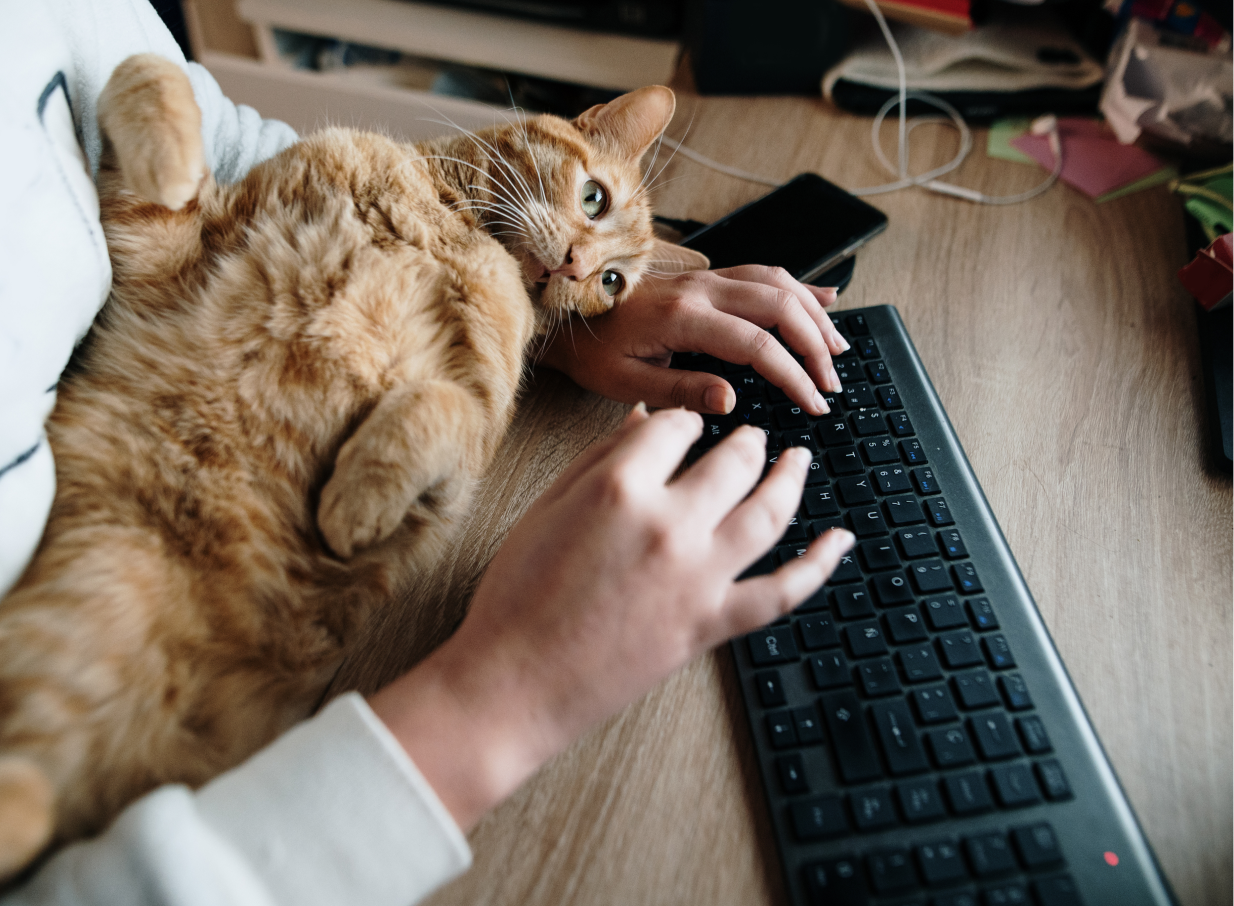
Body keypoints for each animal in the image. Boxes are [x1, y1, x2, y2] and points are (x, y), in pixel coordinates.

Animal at [0, 53, 710, 878]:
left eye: (612, 285)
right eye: (594, 198)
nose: (575, 265)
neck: (443, 217)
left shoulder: (472, 423)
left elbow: (436, 407)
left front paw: (355, 503)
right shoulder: (162, 258)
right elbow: (148, 71)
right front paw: (174, 160)